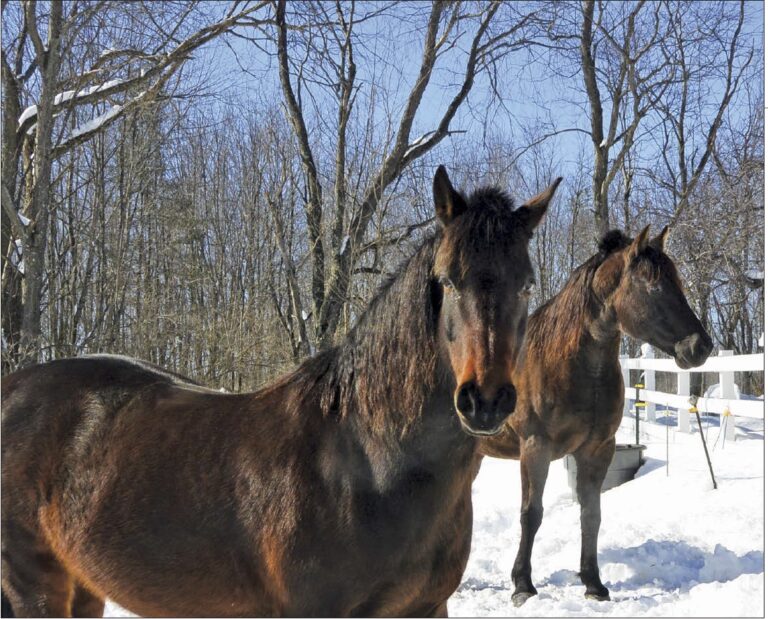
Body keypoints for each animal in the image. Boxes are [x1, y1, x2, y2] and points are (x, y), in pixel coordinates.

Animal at [1, 166, 561, 617]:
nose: (484, 400)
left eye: (527, 284)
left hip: (84, 585)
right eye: (446, 280)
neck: (369, 461)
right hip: (35, 585)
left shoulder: (426, 609)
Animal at [478, 226, 713, 606]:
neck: (565, 362)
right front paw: (522, 585)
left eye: (678, 281)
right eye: (654, 286)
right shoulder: (535, 448)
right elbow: (531, 513)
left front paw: (593, 583)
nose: (700, 347)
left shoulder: (597, 450)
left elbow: (591, 514)